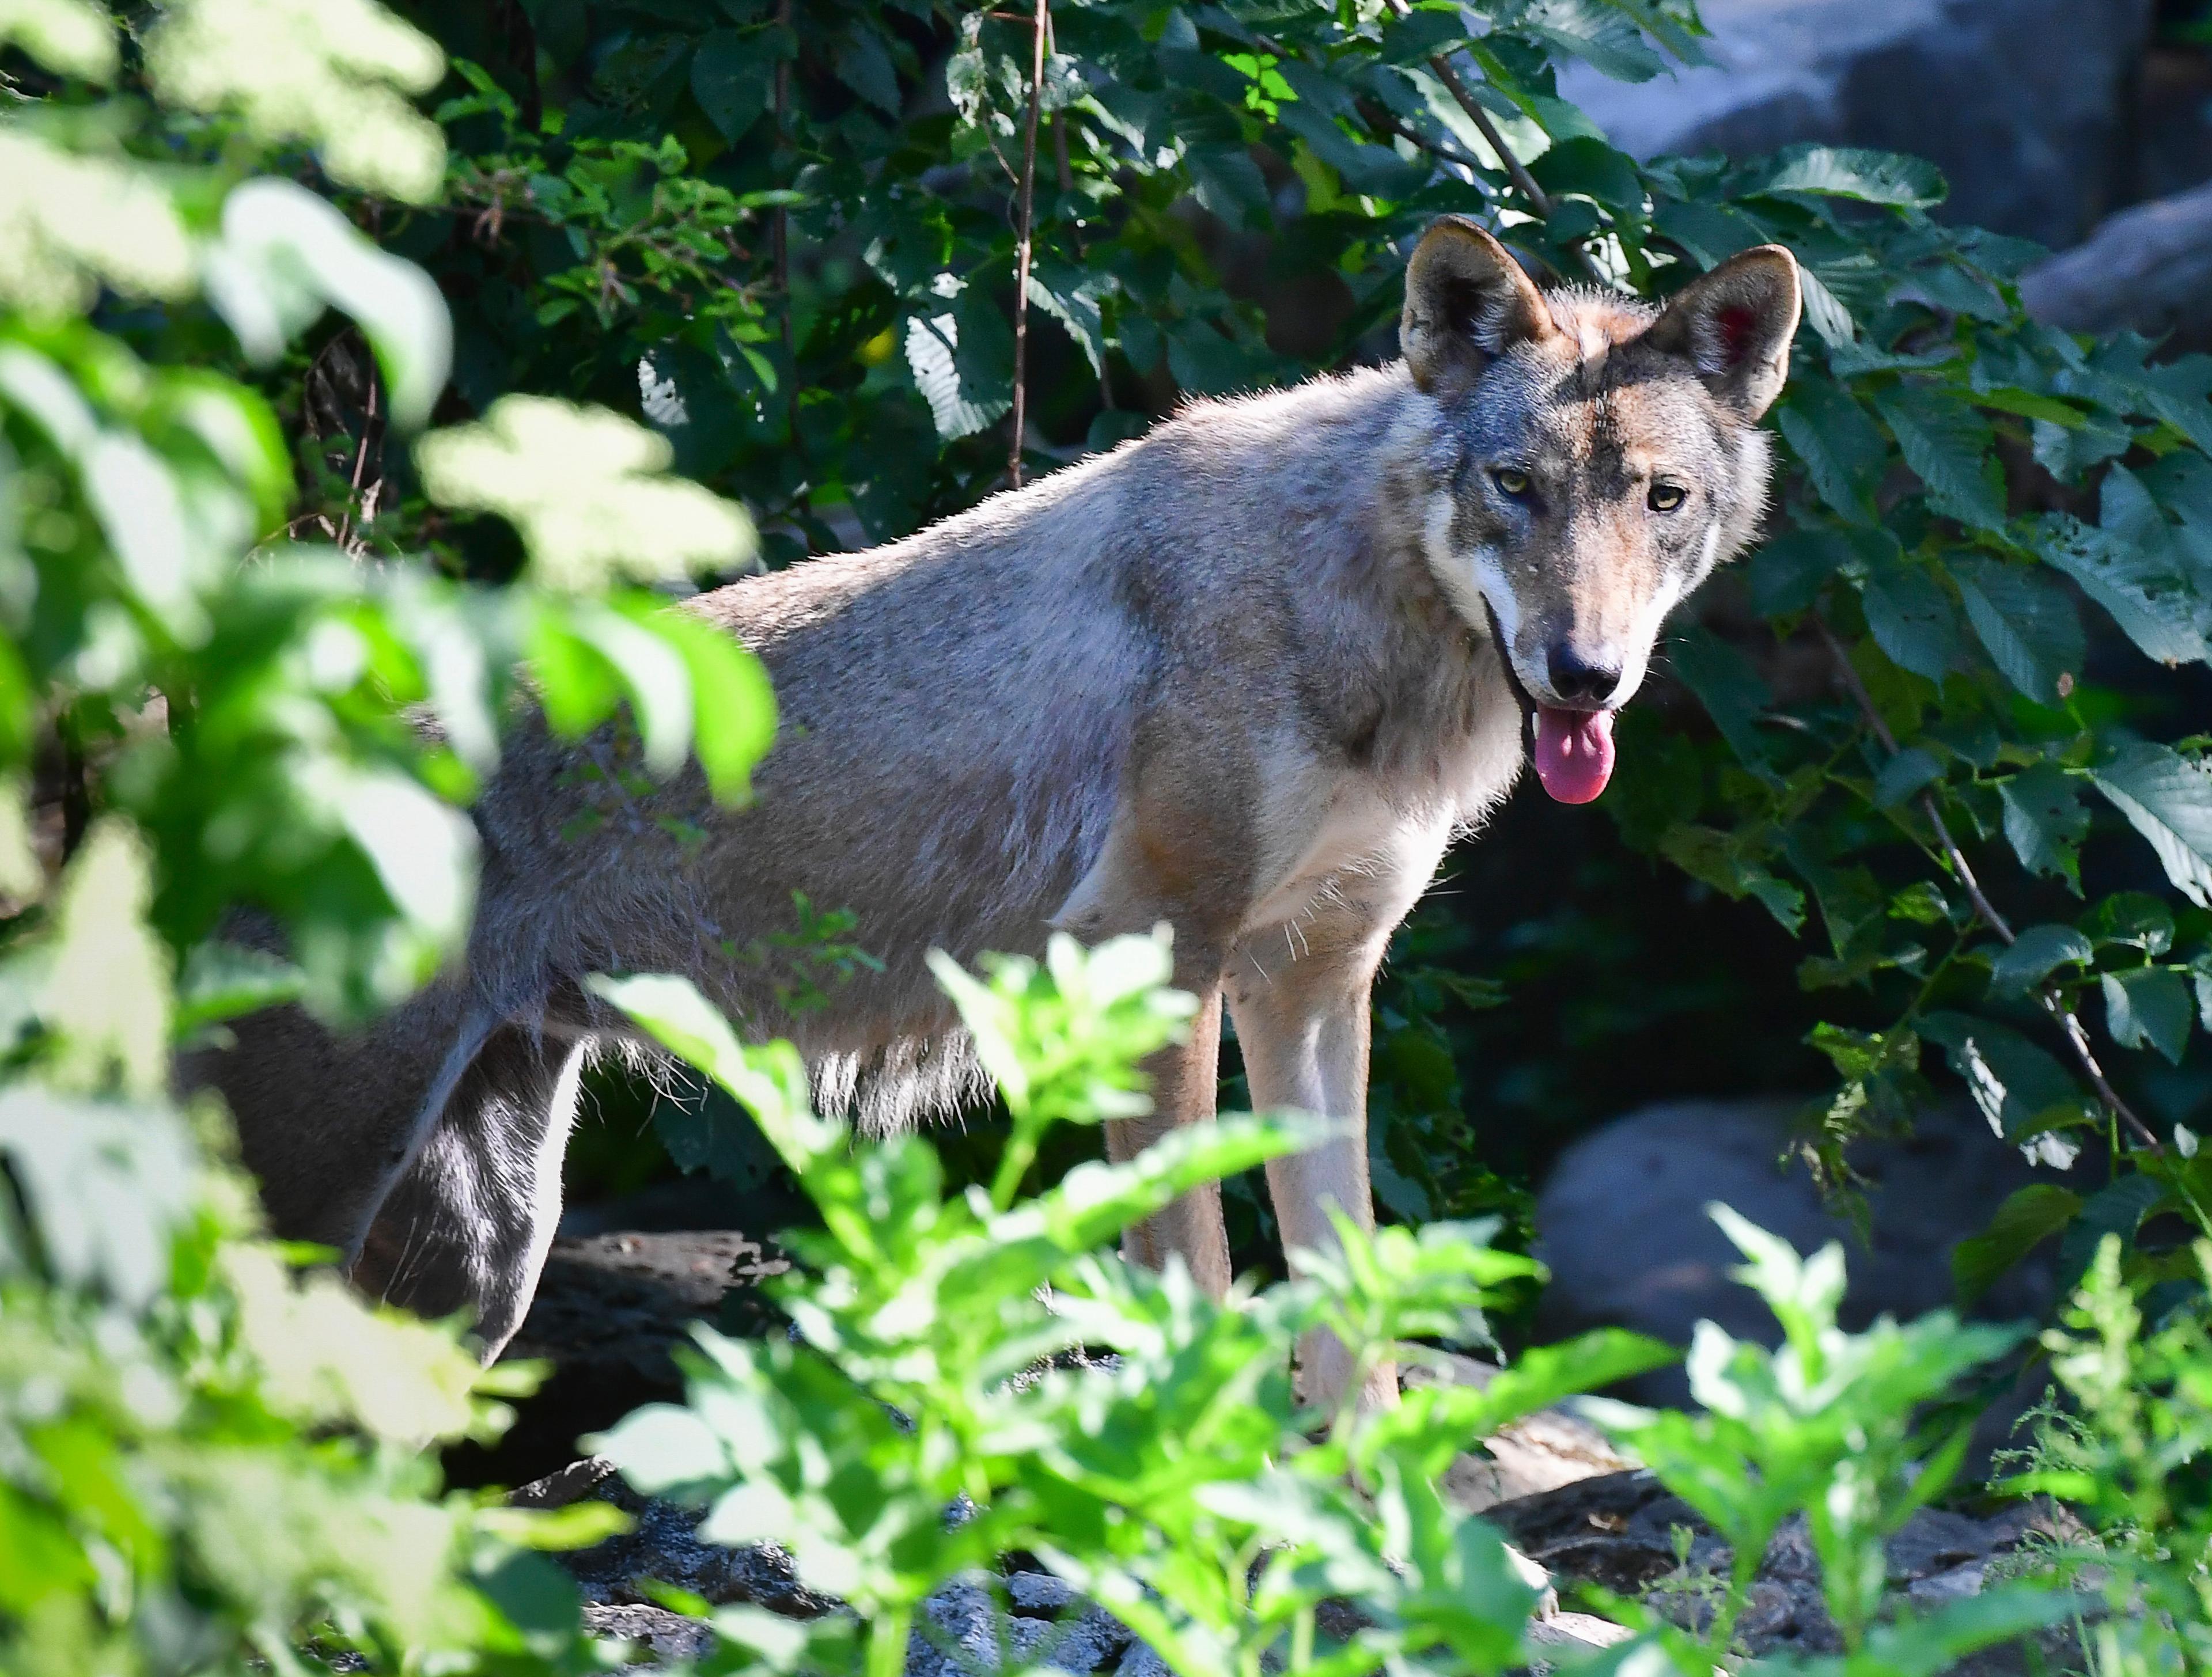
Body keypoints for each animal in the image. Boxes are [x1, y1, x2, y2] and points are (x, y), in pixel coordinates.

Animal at [194, 217, 1796, 1416]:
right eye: (1514, 486)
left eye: (1658, 500)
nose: (1583, 673)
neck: (1358, 618)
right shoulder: (1155, 963)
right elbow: (1200, 1288)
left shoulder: (1314, 982)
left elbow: (1346, 1303)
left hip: (485, 1264)